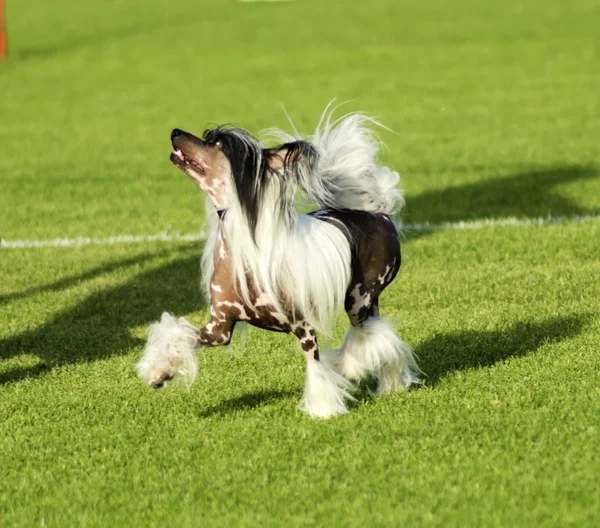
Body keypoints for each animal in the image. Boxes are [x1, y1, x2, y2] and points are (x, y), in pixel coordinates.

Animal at [137, 110, 418, 416]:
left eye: (219, 144)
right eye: (208, 137)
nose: (175, 132)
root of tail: (377, 211)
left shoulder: (302, 325)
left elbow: (314, 367)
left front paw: (323, 410)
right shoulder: (219, 328)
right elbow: (179, 336)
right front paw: (159, 372)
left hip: (359, 299)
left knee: (371, 336)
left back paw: (357, 371)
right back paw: (391, 382)